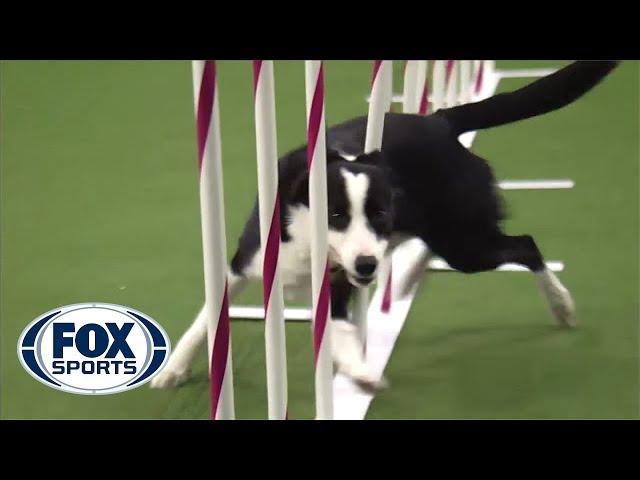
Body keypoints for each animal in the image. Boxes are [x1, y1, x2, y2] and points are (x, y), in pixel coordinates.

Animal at [151, 60, 620, 390]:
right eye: (336, 216)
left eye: (380, 214)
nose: (367, 267)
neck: (308, 243)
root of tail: (441, 120)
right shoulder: (247, 262)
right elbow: (207, 318)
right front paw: (174, 369)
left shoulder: (338, 290)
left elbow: (340, 334)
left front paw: (360, 373)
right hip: (450, 235)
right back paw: (411, 276)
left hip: (464, 242)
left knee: (525, 244)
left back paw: (561, 304)